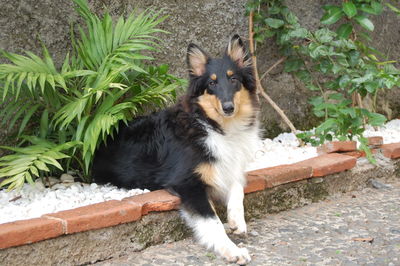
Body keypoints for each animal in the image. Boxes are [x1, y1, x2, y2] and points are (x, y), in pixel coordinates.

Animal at [91, 34, 260, 264]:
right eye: (211, 83)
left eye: (233, 79)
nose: (228, 108)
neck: (215, 127)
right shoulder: (187, 183)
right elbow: (213, 221)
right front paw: (232, 250)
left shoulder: (229, 169)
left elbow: (237, 189)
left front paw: (237, 221)